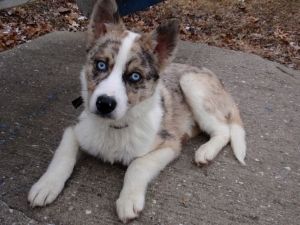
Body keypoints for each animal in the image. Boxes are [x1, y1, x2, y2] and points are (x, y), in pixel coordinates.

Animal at [27, 0, 246, 221]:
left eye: (134, 76)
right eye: (101, 64)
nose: (104, 104)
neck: (114, 128)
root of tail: (216, 79)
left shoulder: (169, 145)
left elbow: (137, 165)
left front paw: (129, 199)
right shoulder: (75, 129)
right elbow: (63, 152)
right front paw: (46, 185)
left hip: (190, 83)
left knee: (224, 131)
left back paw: (206, 151)